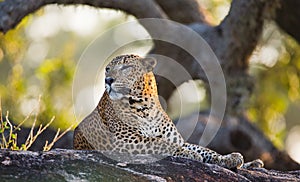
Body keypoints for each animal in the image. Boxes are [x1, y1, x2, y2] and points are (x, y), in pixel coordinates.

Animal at [74, 54, 264, 169]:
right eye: (107, 69)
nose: (108, 79)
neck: (145, 106)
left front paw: (229, 158)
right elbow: (160, 143)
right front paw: (190, 154)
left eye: (126, 68)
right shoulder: (124, 141)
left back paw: (253, 163)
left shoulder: (176, 139)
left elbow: (203, 149)